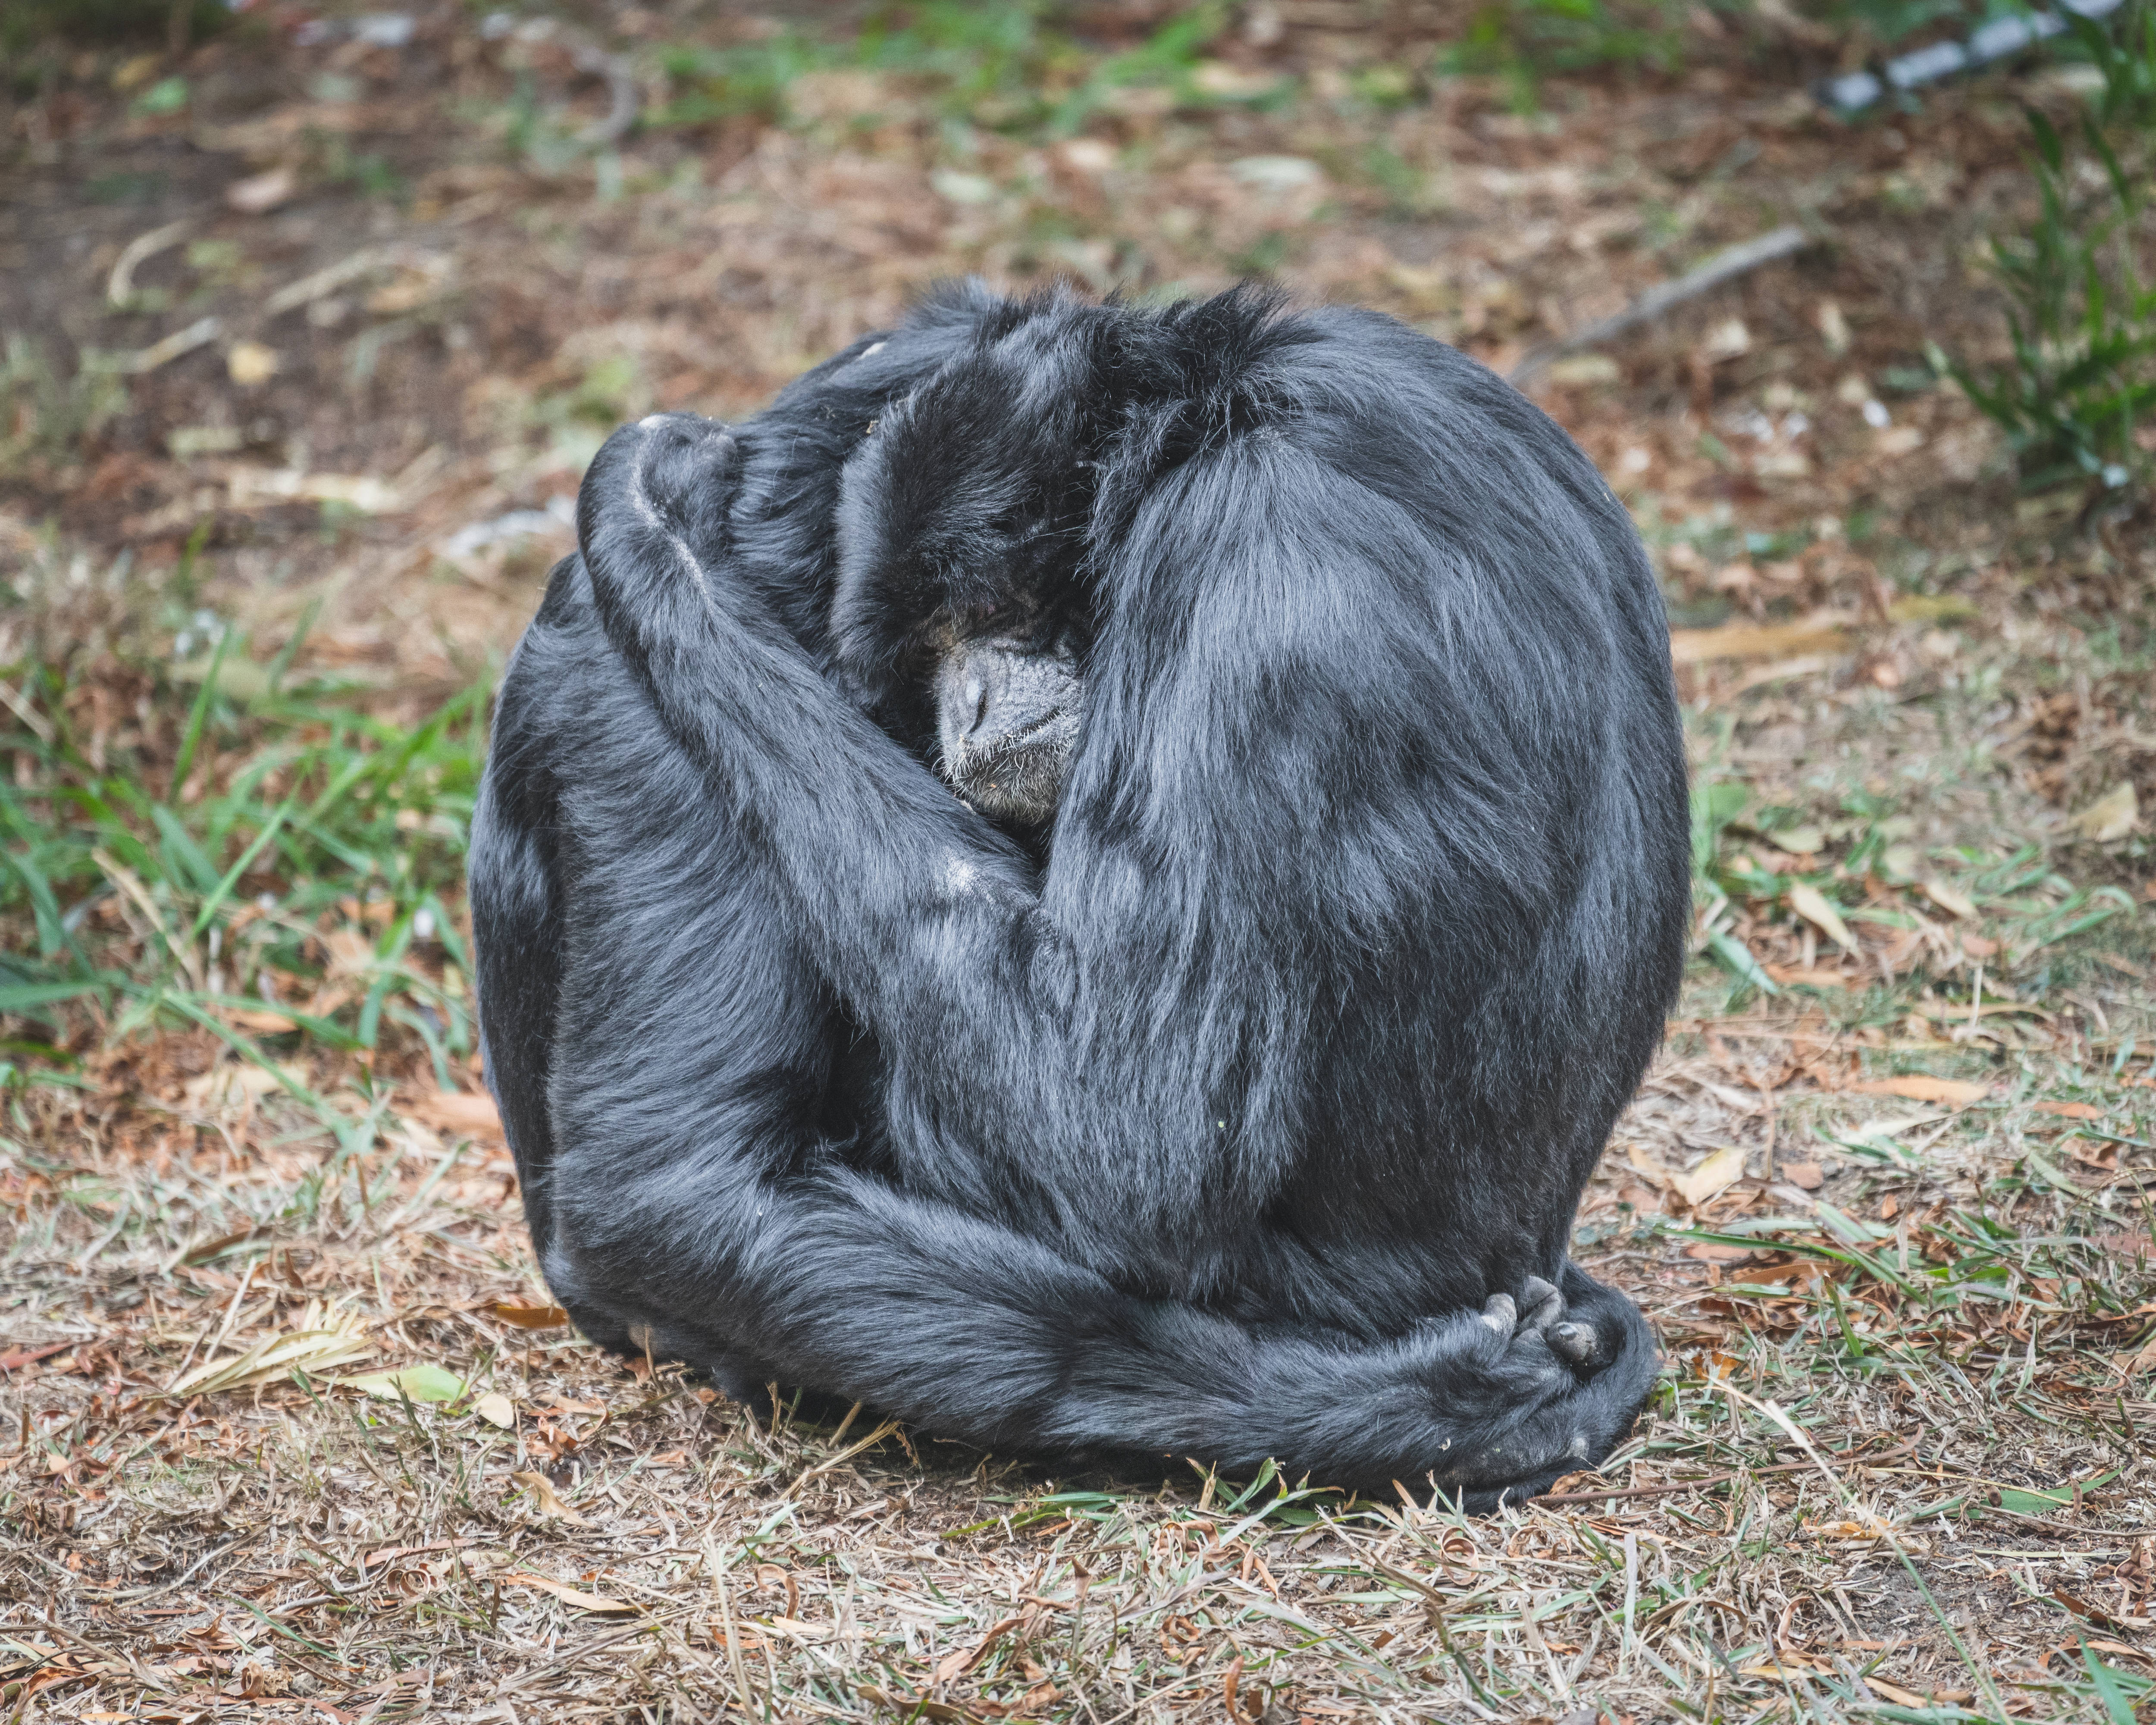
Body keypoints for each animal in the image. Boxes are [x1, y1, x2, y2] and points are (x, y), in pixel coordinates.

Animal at [467, 282, 1691, 1508]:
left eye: (980, 616)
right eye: (927, 645)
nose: (962, 704)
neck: (1236, 408)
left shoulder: (1266, 571)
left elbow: (1127, 1140)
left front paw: (658, 524)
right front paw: (1457, 1405)